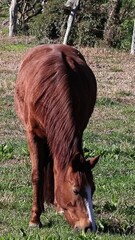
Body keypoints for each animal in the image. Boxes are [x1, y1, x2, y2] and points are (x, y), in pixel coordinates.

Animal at [14, 44, 99, 232]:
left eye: (93, 189)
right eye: (75, 190)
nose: (89, 227)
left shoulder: (78, 130)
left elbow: (57, 169)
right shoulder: (33, 135)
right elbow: (37, 174)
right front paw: (35, 219)